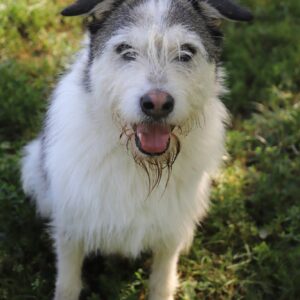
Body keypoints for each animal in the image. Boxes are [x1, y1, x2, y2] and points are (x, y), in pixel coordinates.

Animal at [21, 1, 252, 298]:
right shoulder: (71, 228)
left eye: (186, 53)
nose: (157, 104)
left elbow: (161, 281)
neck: (138, 162)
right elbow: (68, 282)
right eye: (125, 50)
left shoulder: (170, 232)